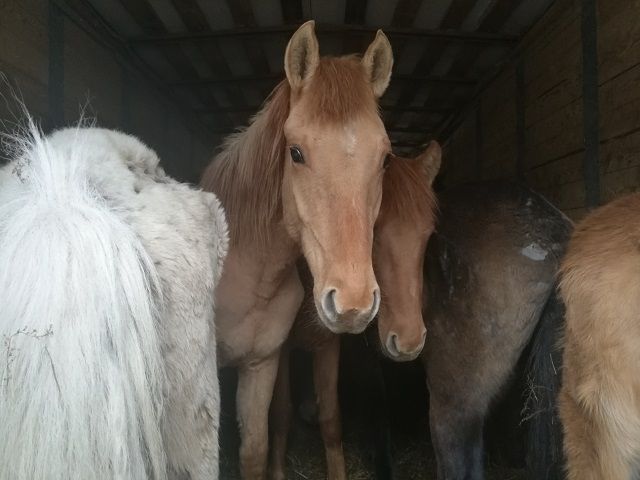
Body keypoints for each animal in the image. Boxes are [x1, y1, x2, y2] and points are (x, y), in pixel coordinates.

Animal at [199, 21, 394, 480]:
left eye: (384, 159)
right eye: (296, 152)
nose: (353, 303)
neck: (250, 276)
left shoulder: (263, 364)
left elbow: (254, 452)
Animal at [268, 142, 442, 480]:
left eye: (427, 234)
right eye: (373, 232)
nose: (409, 341)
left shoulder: (334, 345)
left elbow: (339, 415)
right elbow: (280, 415)